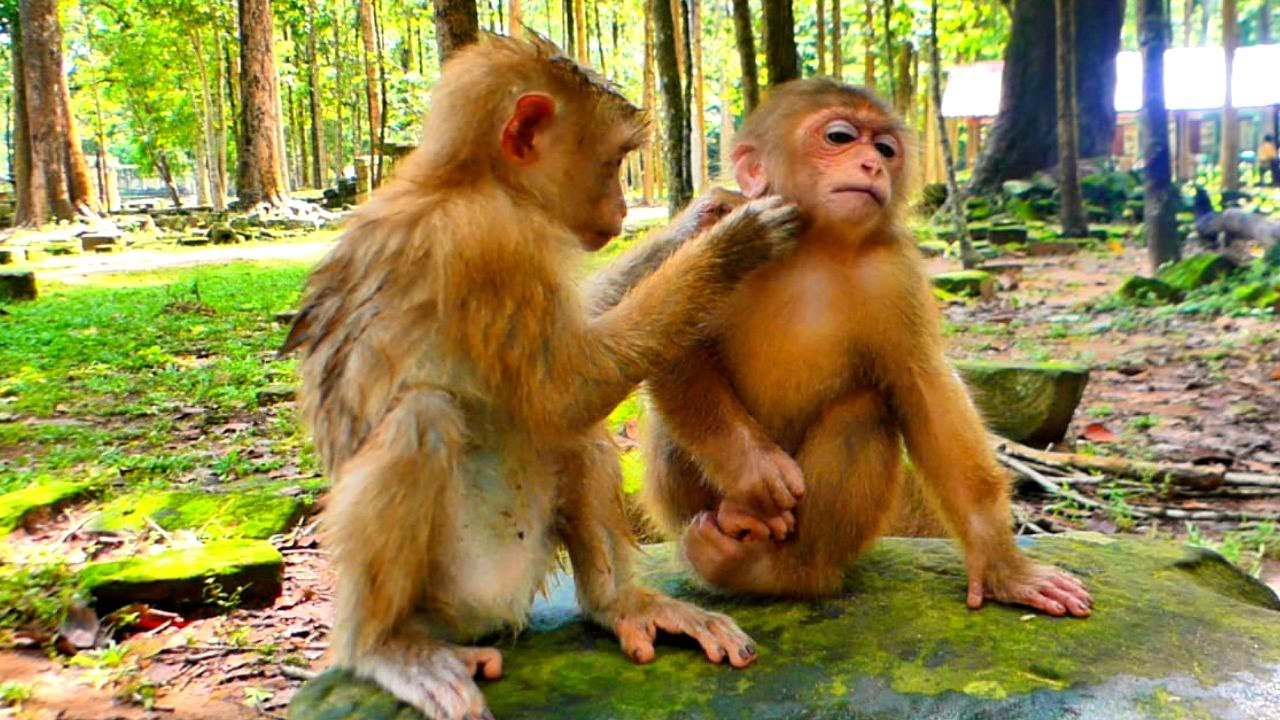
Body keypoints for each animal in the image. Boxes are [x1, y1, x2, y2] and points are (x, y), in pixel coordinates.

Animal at [281, 35, 802, 720]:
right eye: (614, 161)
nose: (622, 204)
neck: (471, 182)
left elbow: (570, 370)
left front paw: (699, 220)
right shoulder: (495, 244)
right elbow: (567, 387)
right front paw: (735, 242)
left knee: (569, 433)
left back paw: (617, 604)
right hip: (470, 585)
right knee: (429, 417)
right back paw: (382, 646)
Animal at [640, 79, 1093, 619]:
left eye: (885, 149)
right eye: (839, 137)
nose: (872, 166)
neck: (813, 247)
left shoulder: (895, 272)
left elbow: (924, 392)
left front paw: (1005, 568)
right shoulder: (715, 234)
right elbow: (669, 345)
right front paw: (753, 467)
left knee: (865, 407)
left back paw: (781, 571)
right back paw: (736, 517)